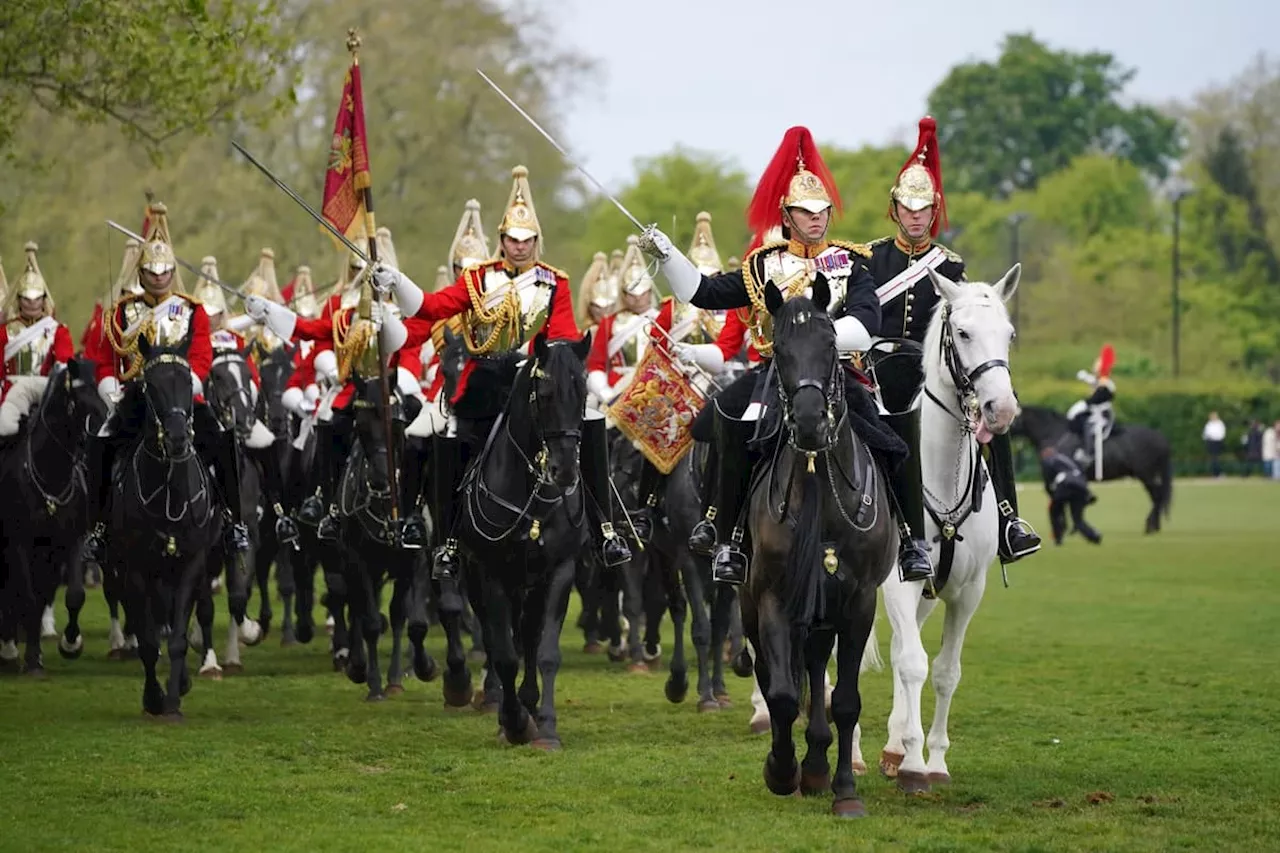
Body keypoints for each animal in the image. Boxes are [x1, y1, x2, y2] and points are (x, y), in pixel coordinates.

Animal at [0, 358, 106, 671]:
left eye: (99, 395)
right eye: (78, 400)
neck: (50, 479)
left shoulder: (69, 542)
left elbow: (73, 595)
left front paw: (70, 644)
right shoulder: (19, 544)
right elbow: (28, 598)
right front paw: (30, 658)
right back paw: (9, 647)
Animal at [458, 333, 591, 742]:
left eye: (583, 393)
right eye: (544, 395)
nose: (565, 471)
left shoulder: (560, 570)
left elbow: (545, 651)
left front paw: (545, 724)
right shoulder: (491, 573)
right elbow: (503, 653)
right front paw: (514, 721)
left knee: (529, 637)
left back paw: (529, 701)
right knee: (494, 638)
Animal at [747, 281, 896, 814]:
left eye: (831, 345)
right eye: (779, 350)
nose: (811, 422)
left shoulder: (859, 600)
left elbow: (846, 700)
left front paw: (845, 792)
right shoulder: (772, 597)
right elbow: (782, 694)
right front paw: (780, 770)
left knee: (814, 666)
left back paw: (817, 764)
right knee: (777, 673)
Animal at [870, 262, 1018, 788]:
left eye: (1009, 335)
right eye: (964, 332)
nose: (1002, 408)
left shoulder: (965, 591)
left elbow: (943, 671)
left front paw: (931, 760)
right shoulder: (898, 582)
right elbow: (913, 664)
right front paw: (915, 764)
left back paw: (892, 746)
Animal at [1013, 404, 1172, 532]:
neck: (1054, 434)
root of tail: (1160, 437)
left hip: (1146, 475)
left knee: (1157, 496)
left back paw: (1150, 526)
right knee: (1157, 496)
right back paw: (1154, 526)